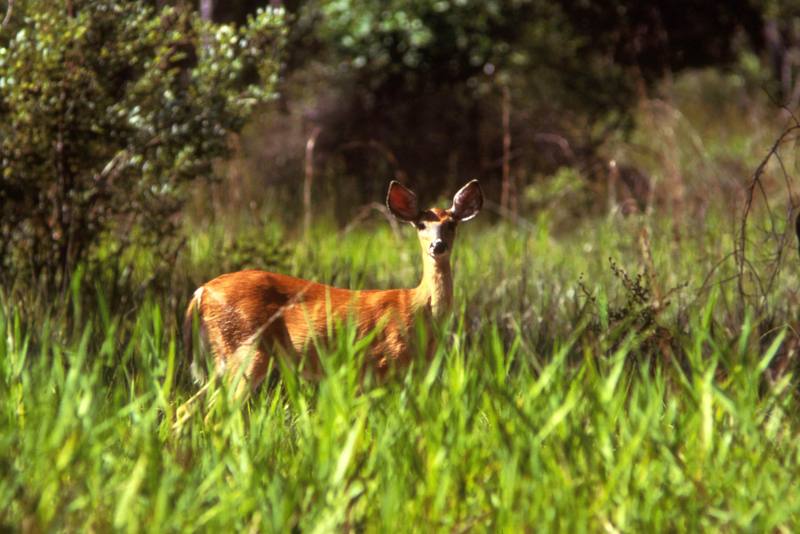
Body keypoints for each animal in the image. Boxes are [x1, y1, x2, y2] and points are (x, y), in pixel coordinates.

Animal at [183, 181, 482, 394]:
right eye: (420, 224)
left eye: (451, 224)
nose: (437, 246)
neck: (419, 308)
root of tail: (201, 293)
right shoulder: (381, 364)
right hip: (246, 348)